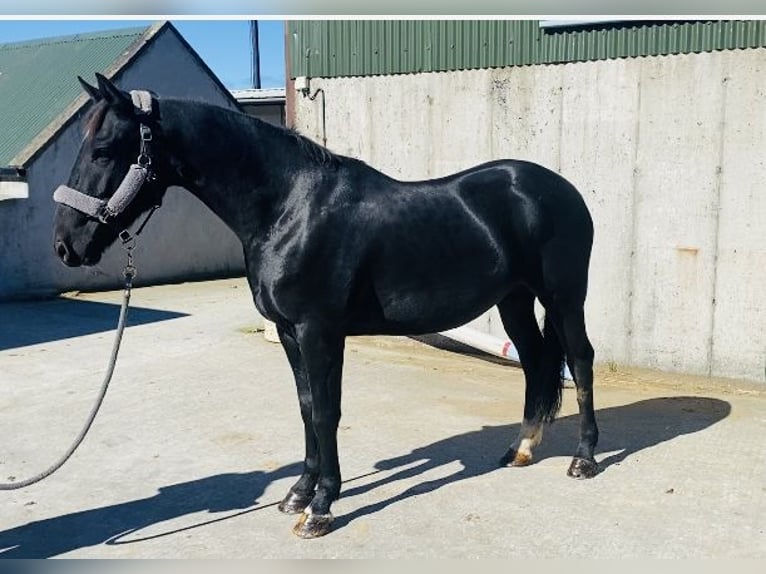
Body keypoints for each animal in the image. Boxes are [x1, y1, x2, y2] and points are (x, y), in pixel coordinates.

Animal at [54, 75, 604, 540]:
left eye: (103, 149)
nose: (65, 246)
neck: (289, 208)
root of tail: (560, 189)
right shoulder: (289, 332)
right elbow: (305, 408)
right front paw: (298, 494)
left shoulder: (318, 331)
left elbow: (326, 412)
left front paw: (320, 508)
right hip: (513, 299)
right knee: (535, 362)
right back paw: (521, 449)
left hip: (563, 296)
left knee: (579, 360)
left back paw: (584, 460)